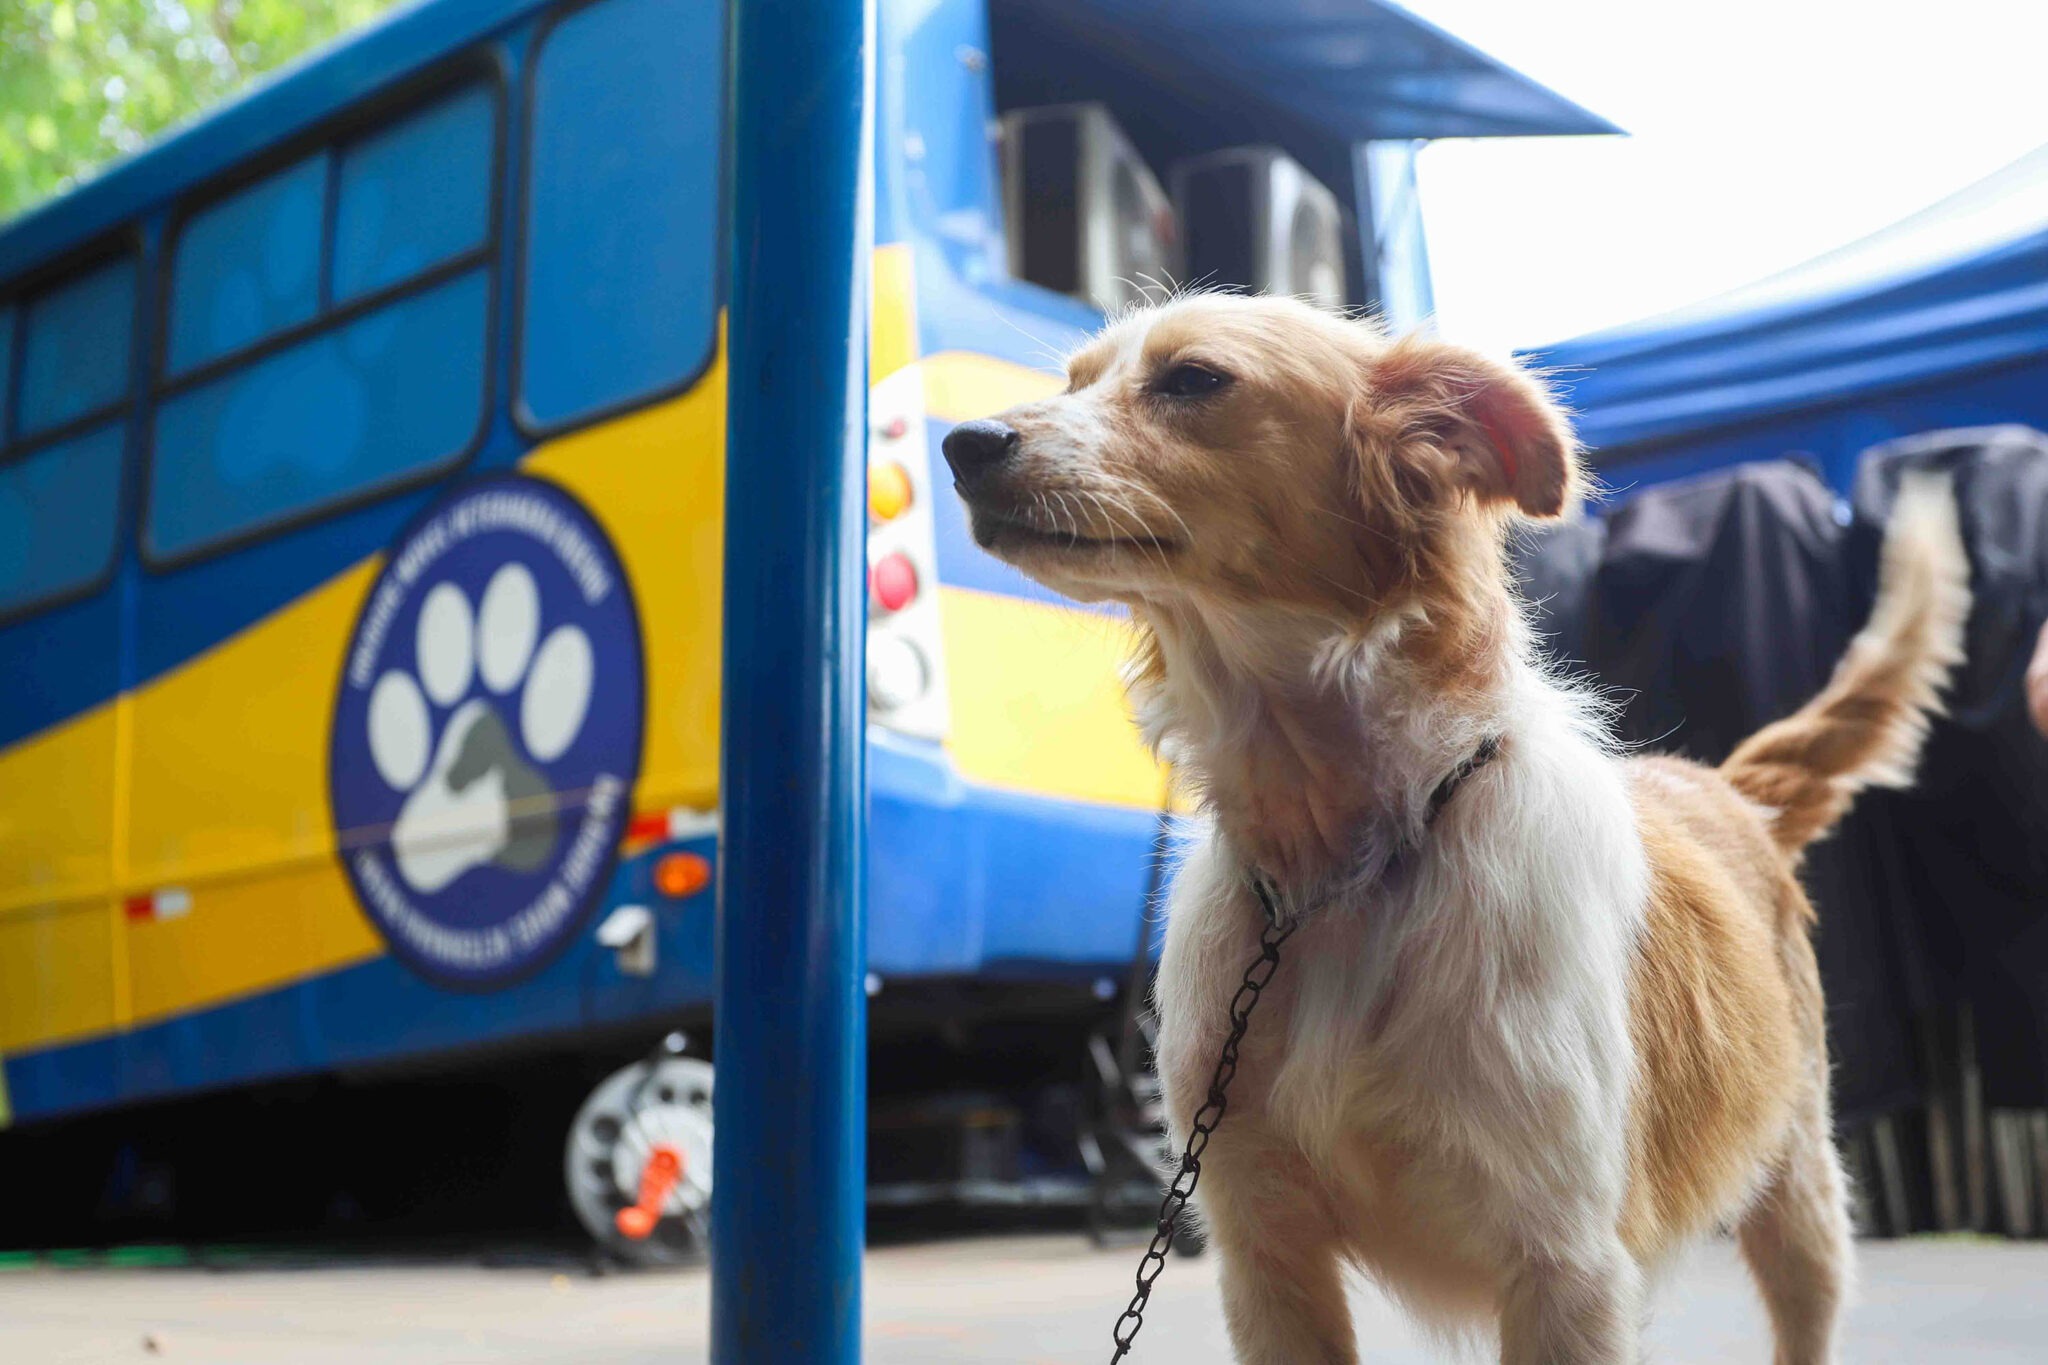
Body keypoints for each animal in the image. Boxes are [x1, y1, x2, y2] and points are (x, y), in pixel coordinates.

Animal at [942, 298, 1966, 1365]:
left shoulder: (1566, 1264)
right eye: (1074, 381)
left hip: (1800, 1192)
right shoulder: (1265, 1249)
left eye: (1194, 380)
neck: (1341, 864)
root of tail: (1723, 786)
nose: (964, 443)